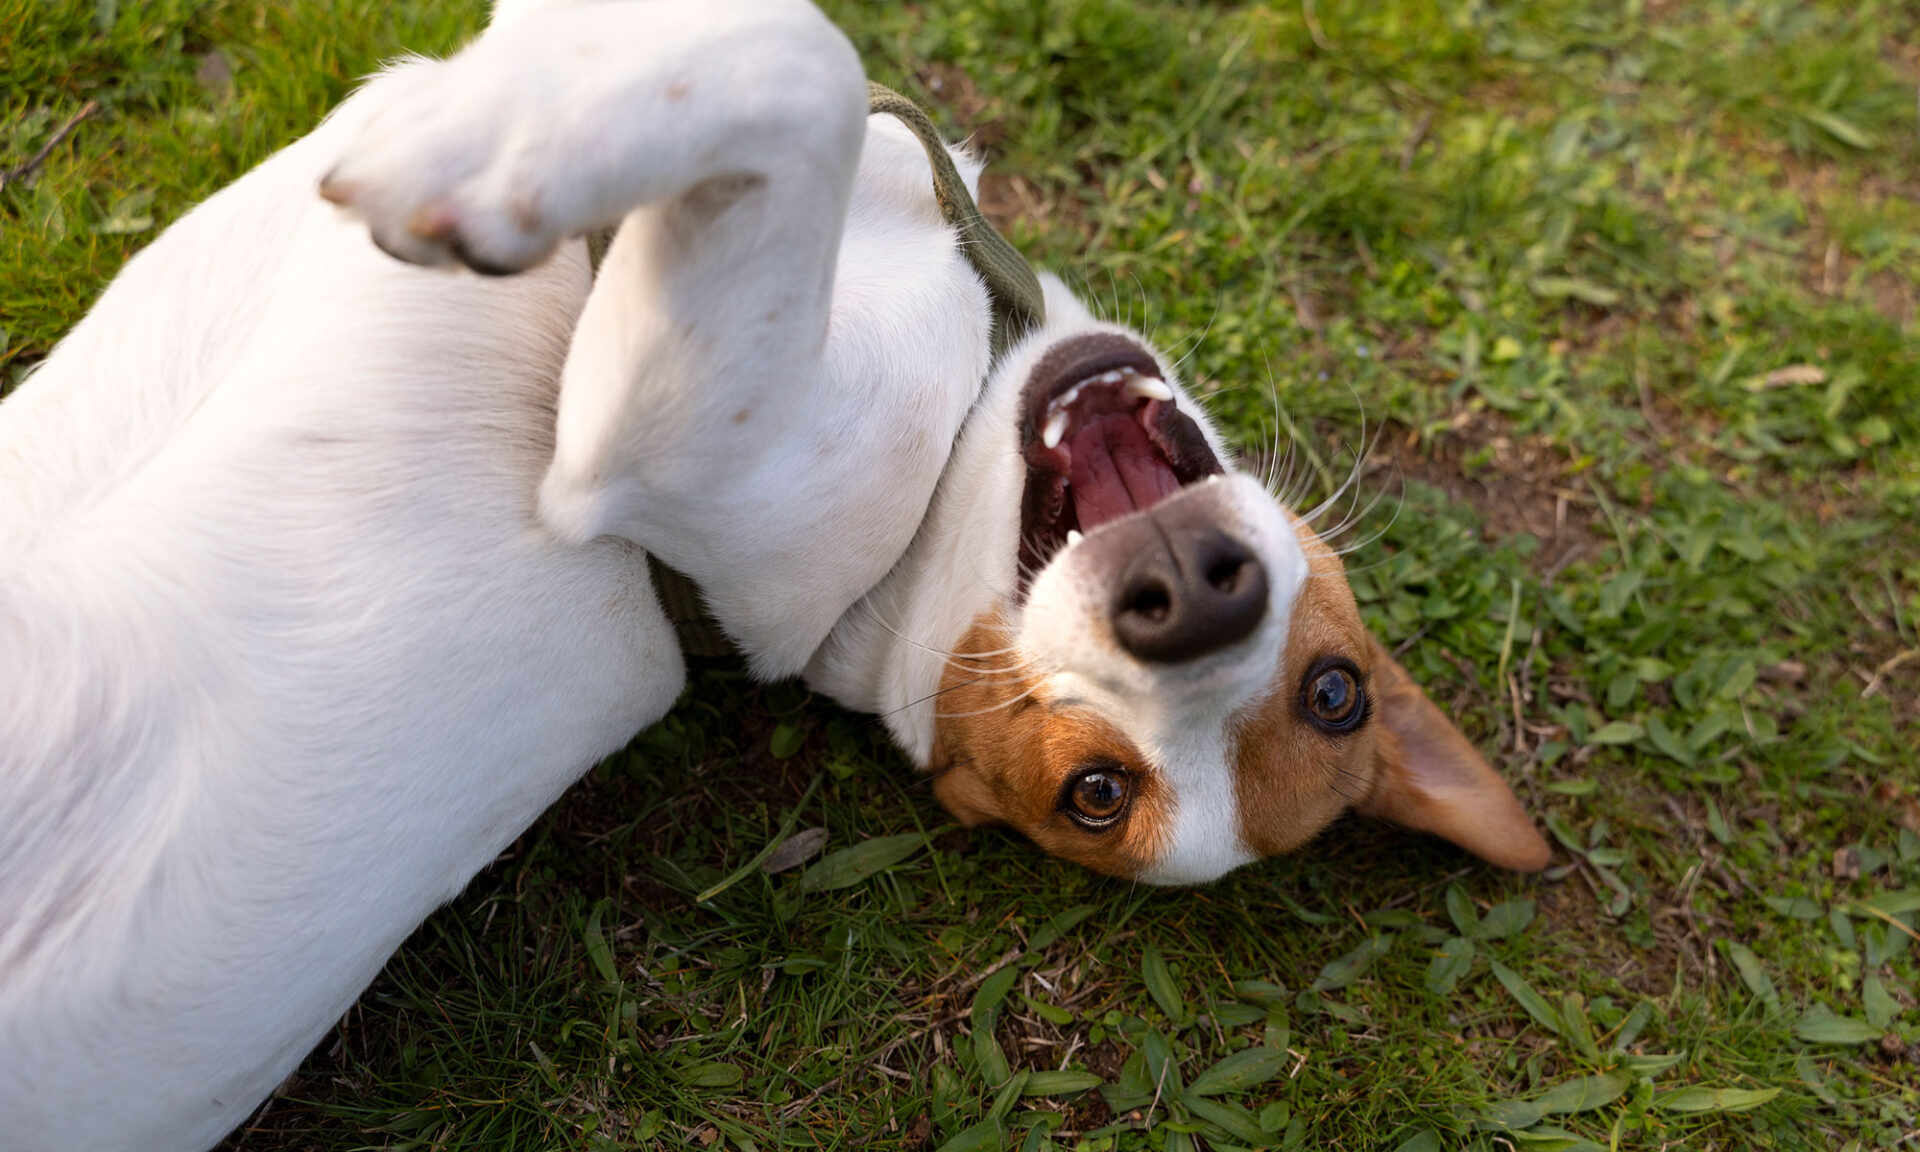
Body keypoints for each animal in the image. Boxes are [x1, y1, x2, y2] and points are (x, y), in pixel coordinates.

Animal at [0, 4, 1551, 1144]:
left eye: (1093, 794)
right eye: (1340, 692)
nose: (1195, 600)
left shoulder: (644, 448)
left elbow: (804, 55)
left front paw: (497, 158)